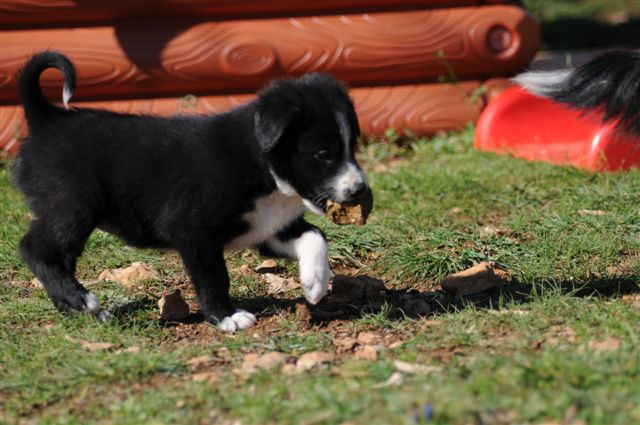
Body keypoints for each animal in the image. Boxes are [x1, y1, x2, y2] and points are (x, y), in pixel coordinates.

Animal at [13, 52, 370, 332]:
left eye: (352, 146)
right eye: (323, 153)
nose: (359, 190)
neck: (261, 168)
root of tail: (47, 118)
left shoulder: (268, 227)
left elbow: (315, 236)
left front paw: (315, 283)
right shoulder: (193, 230)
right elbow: (214, 276)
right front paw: (226, 317)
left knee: (58, 257)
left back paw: (75, 309)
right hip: (71, 206)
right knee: (35, 250)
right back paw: (83, 300)